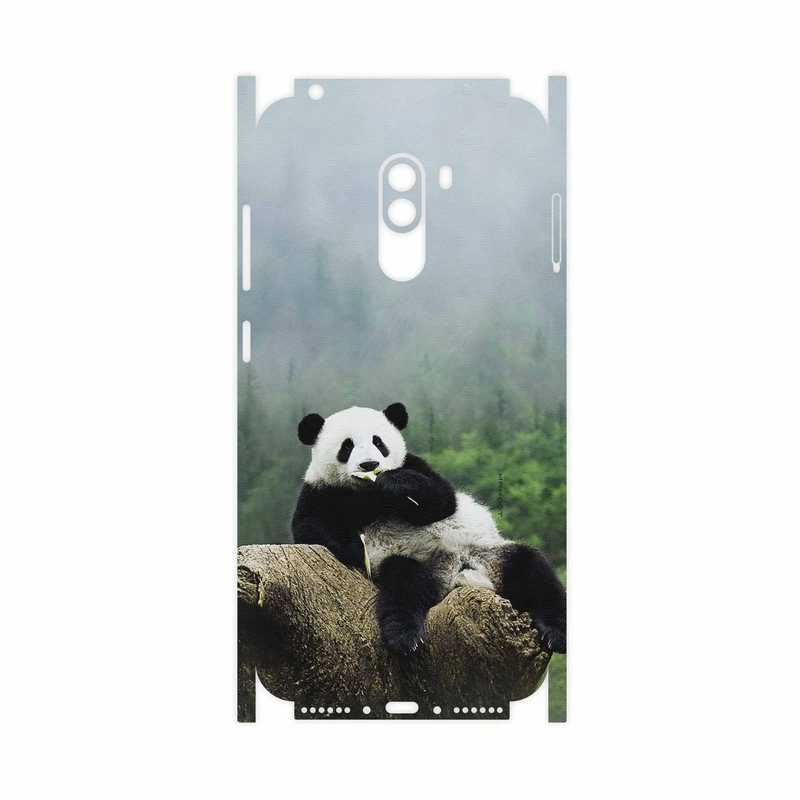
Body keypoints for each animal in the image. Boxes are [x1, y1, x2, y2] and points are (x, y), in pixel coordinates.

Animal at [292, 403, 567, 656]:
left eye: (378, 442)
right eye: (346, 446)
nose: (370, 464)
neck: (368, 494)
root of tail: (458, 574)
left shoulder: (415, 465)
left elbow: (442, 500)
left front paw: (395, 482)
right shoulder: (320, 491)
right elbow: (309, 527)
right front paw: (354, 548)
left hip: (490, 553)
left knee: (533, 570)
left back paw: (556, 632)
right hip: (415, 563)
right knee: (403, 586)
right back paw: (405, 637)